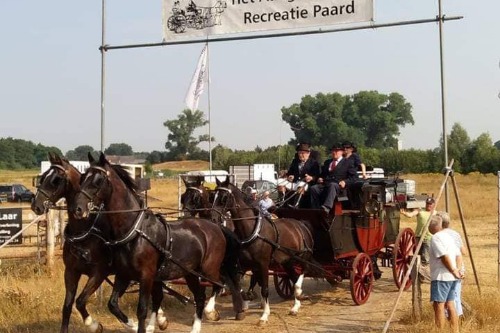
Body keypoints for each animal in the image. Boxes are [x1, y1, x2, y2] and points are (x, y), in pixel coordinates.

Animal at [30, 152, 158, 332]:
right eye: (42, 178)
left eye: (56, 179)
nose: (36, 206)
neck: (85, 229)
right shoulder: (71, 272)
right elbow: (67, 306)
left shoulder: (99, 273)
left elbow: (80, 301)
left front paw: (94, 324)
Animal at [69, 153, 244, 332]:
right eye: (83, 177)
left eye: (98, 180)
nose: (77, 208)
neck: (135, 231)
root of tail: (216, 226)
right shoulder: (123, 274)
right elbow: (113, 304)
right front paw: (131, 325)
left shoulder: (146, 275)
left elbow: (142, 309)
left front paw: (141, 326)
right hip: (190, 273)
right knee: (200, 296)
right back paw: (195, 327)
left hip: (208, 269)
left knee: (220, 283)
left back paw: (212, 312)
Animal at [212, 178, 314, 322]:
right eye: (213, 195)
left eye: (224, 197)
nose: (213, 218)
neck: (252, 231)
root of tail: (301, 224)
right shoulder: (244, 264)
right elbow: (238, 284)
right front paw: (247, 299)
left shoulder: (263, 264)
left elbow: (264, 289)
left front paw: (265, 315)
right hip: (287, 262)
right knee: (293, 277)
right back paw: (295, 306)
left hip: (301, 257)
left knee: (303, 272)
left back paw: (299, 292)